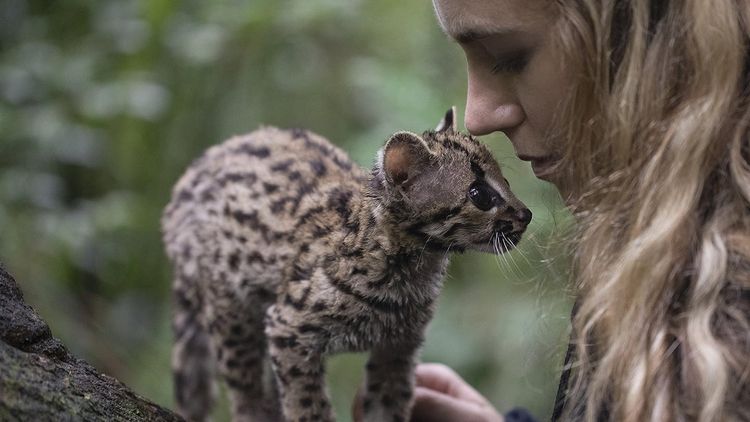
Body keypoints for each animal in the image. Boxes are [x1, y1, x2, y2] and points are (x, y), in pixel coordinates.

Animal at [162, 109, 532, 422]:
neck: (413, 267)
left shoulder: (399, 348)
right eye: (479, 194)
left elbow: (387, 406)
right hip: (230, 305)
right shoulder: (288, 327)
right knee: (245, 385)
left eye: (506, 181)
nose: (526, 215)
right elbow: (307, 407)